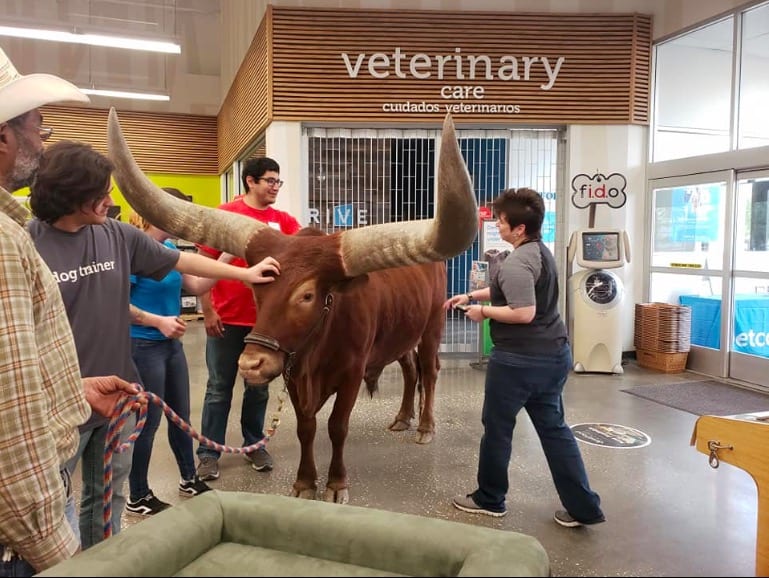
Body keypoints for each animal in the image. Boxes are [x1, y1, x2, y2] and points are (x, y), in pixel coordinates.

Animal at [107, 107, 474, 500]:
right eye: (259, 286)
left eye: (307, 295)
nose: (251, 364)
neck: (322, 338)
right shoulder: (293, 372)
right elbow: (306, 427)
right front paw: (304, 482)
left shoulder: (352, 373)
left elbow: (337, 426)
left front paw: (336, 483)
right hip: (401, 331)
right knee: (409, 369)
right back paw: (403, 418)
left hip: (433, 324)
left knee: (429, 370)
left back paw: (424, 427)